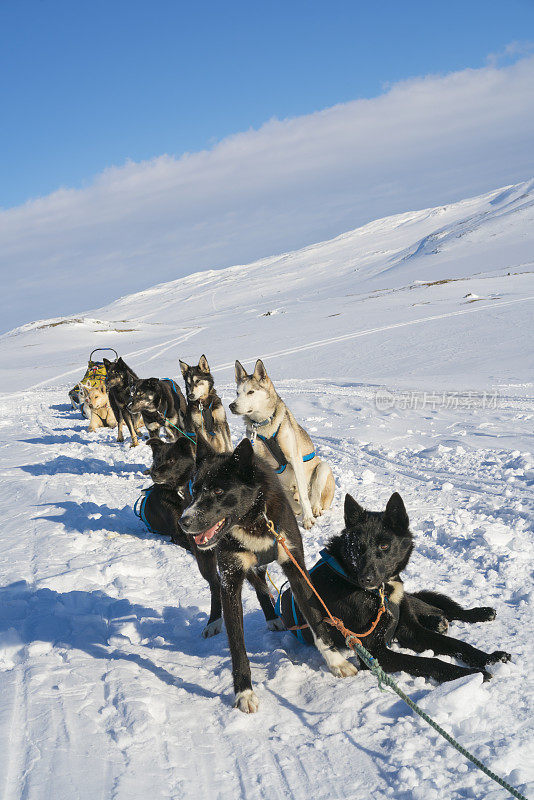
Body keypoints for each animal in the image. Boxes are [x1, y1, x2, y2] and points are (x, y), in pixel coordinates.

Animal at [229, 360, 336, 528]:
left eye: (251, 392)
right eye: (237, 393)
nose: (232, 406)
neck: (263, 425)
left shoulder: (295, 459)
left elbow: (304, 497)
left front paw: (307, 519)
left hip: (322, 468)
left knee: (313, 496)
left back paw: (315, 509)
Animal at [278, 490, 512, 684]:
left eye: (384, 546)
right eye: (357, 548)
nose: (366, 579)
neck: (379, 593)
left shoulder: (411, 631)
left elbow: (458, 645)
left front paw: (489, 659)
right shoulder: (374, 652)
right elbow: (430, 662)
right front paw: (471, 674)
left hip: (410, 602)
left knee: (444, 609)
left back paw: (478, 614)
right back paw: (440, 622)